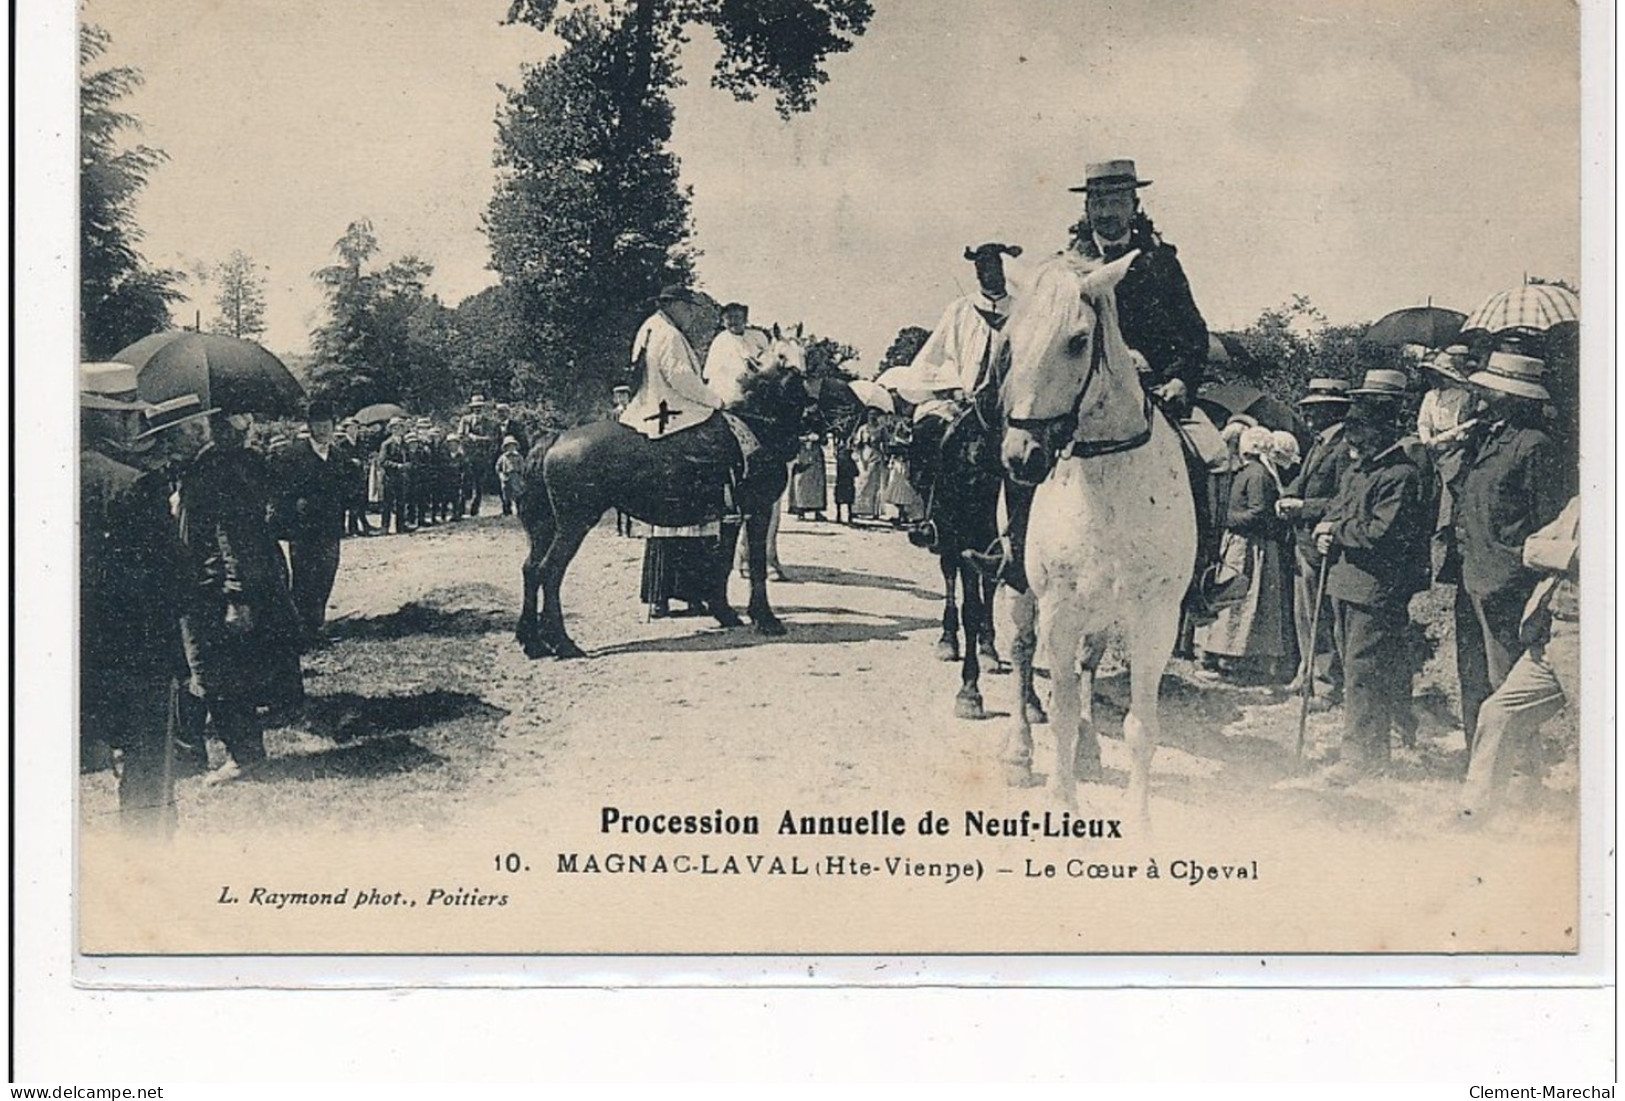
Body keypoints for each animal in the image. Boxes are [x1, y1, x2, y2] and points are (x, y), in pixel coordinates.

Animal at [513, 341, 832, 659]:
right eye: (795, 374)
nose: (816, 420)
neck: (756, 426)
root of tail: (555, 438)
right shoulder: (758, 510)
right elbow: (755, 565)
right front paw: (766, 619)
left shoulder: (730, 517)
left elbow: (723, 563)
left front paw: (725, 613)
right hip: (574, 524)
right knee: (549, 572)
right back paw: (563, 642)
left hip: (546, 526)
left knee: (530, 570)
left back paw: (533, 641)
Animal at [994, 250, 1202, 818]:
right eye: (1010, 341)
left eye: (1078, 339)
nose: (1021, 457)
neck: (1106, 484)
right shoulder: (1060, 610)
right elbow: (1060, 712)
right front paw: (1061, 798)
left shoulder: (1154, 618)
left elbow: (1140, 728)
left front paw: (1138, 817)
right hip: (1022, 590)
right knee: (1021, 653)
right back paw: (1019, 753)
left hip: (1106, 612)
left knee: (1087, 665)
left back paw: (1088, 748)